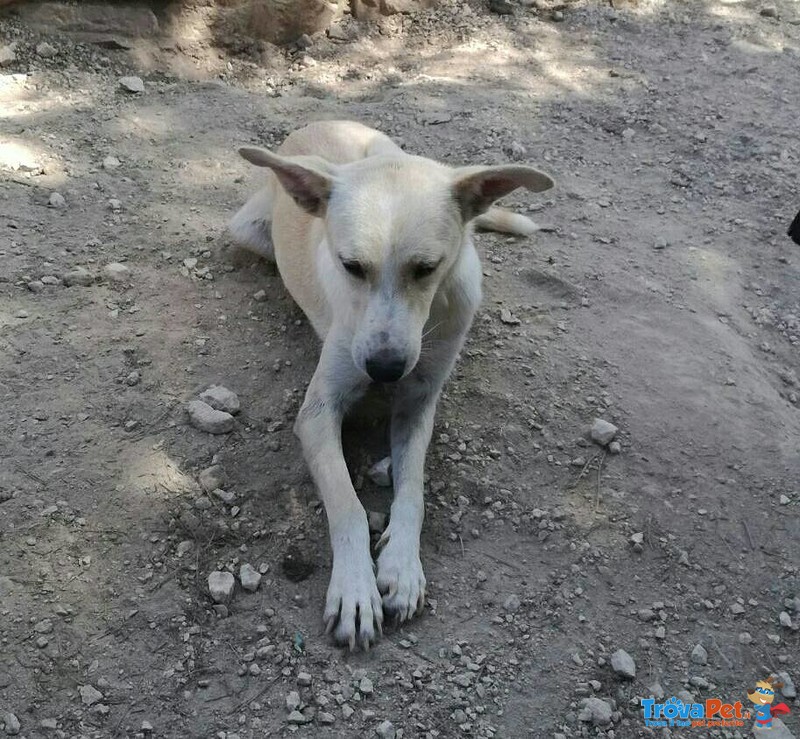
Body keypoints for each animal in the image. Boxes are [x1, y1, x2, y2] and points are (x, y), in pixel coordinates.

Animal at [227, 120, 552, 648]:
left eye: (427, 268)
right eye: (350, 266)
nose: (384, 368)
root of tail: (318, 122)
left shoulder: (419, 403)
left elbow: (414, 489)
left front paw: (401, 566)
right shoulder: (317, 413)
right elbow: (347, 504)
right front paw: (355, 589)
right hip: (249, 231)